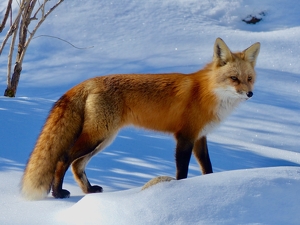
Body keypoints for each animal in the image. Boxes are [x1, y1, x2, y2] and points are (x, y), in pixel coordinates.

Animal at [21, 37, 260, 200]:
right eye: (234, 78)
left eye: (249, 78)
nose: (250, 94)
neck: (207, 93)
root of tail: (88, 81)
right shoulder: (184, 136)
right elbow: (182, 172)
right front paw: (181, 191)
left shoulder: (200, 136)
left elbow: (207, 169)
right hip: (97, 136)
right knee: (63, 159)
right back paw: (58, 193)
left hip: (104, 139)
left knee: (77, 165)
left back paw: (89, 190)